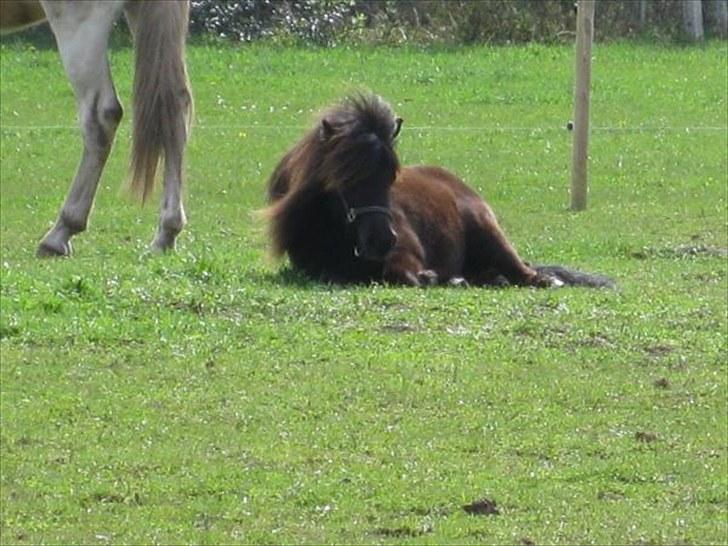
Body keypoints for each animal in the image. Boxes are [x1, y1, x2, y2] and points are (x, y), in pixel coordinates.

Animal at [264, 94, 612, 288]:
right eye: (346, 178)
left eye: (391, 176)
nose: (383, 240)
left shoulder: (406, 256)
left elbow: (402, 274)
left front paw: (431, 277)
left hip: (491, 235)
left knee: (526, 274)